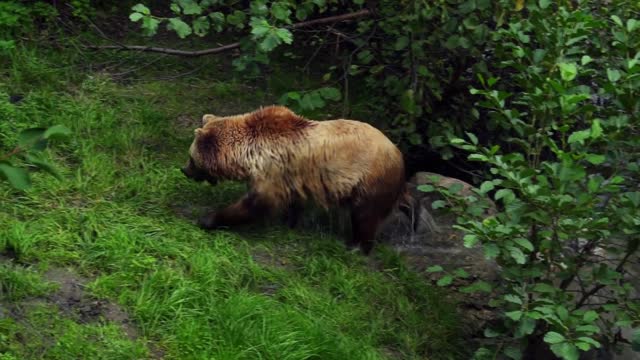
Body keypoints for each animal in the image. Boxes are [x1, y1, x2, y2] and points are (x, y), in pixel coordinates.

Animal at [180, 105, 408, 255]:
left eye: (191, 158)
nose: (184, 170)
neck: (247, 154)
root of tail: (399, 154)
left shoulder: (271, 172)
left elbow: (256, 204)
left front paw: (208, 219)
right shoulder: (292, 178)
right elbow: (293, 202)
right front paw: (290, 222)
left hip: (370, 181)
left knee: (365, 216)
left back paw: (357, 247)